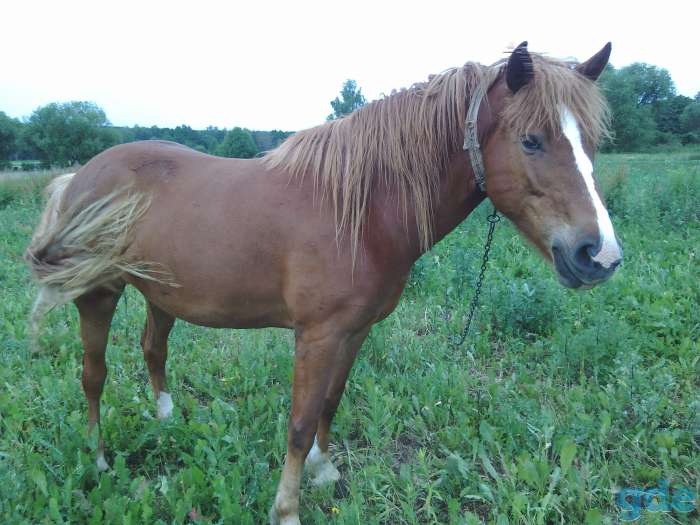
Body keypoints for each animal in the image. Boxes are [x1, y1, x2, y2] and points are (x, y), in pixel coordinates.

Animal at [25, 42, 622, 524]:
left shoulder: (353, 331)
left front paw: (324, 470)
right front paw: (286, 508)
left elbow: (330, 403)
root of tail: (80, 175)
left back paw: (167, 423)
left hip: (160, 292)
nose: (599, 255)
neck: (360, 209)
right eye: (531, 141)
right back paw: (99, 460)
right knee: (94, 375)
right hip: (98, 294)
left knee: (153, 348)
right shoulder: (316, 335)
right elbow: (299, 420)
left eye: (592, 142)